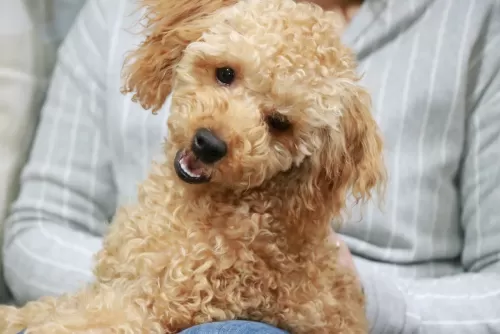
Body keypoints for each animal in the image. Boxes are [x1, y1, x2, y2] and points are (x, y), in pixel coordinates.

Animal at [0, 0, 386, 332]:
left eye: (279, 123)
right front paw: (13, 316)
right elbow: (50, 308)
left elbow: (73, 322)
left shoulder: (149, 307)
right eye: (225, 73)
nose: (209, 144)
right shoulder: (115, 287)